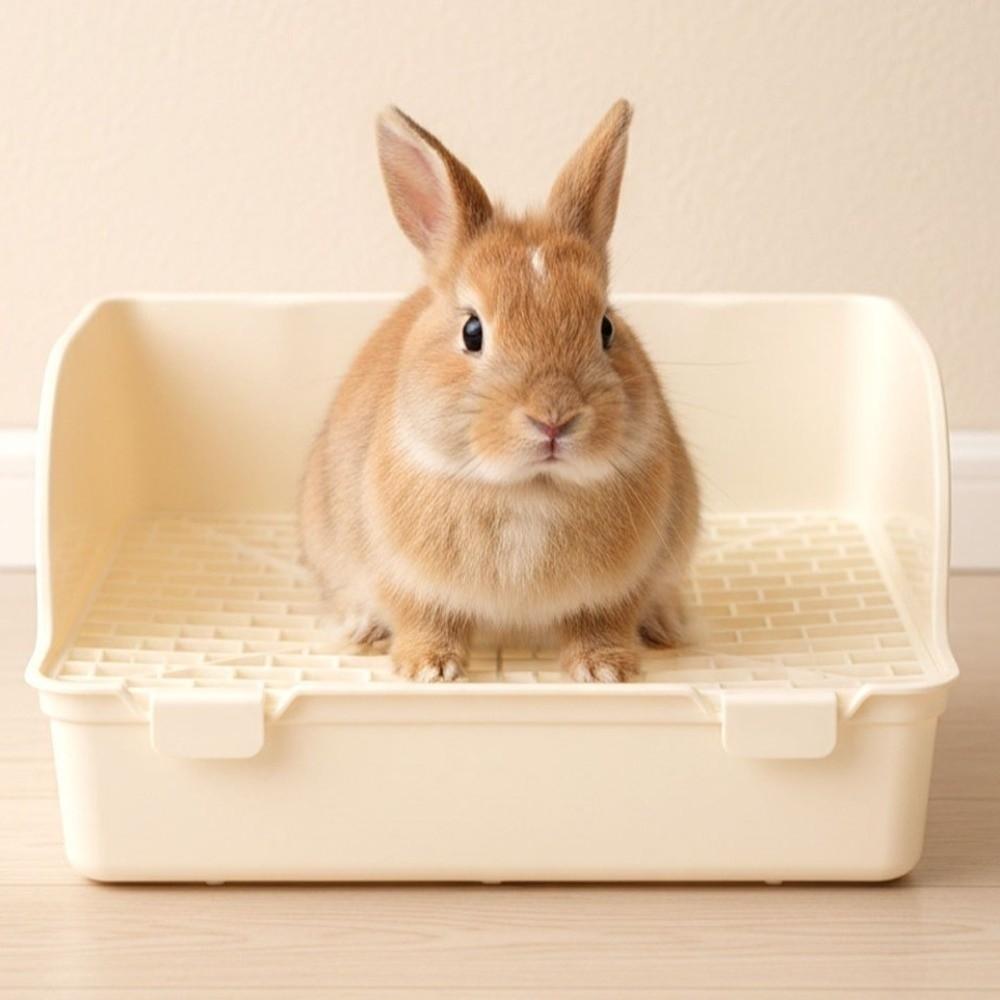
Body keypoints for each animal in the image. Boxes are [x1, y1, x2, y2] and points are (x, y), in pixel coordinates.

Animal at [300, 99, 699, 682]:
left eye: (606, 327)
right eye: (473, 331)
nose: (554, 418)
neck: (529, 490)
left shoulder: (619, 589)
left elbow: (601, 622)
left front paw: (604, 670)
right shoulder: (405, 580)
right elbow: (423, 617)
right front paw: (429, 668)